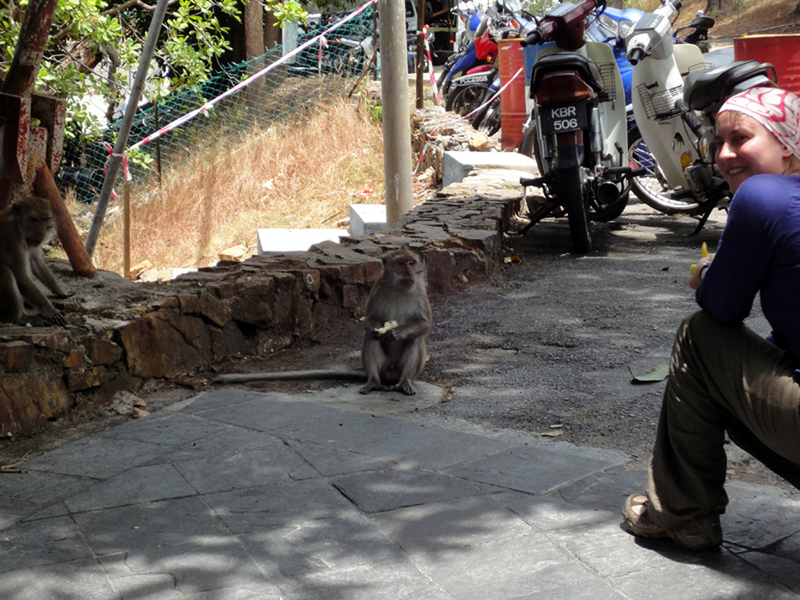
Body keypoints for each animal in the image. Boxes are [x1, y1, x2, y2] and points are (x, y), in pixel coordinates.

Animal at [0, 196, 70, 328]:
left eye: (45, 220)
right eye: (35, 220)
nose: (41, 233)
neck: (18, 224)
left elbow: (35, 261)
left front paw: (61, 291)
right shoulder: (13, 237)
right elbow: (21, 276)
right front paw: (51, 311)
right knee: (6, 272)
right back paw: (20, 317)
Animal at [360, 246, 432, 396]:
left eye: (411, 263)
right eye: (401, 263)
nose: (409, 272)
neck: (399, 287)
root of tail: (392, 373)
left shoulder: (420, 290)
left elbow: (424, 324)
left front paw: (397, 332)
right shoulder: (377, 286)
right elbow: (370, 319)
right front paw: (379, 332)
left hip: (404, 370)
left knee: (415, 338)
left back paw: (405, 382)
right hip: (385, 367)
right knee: (370, 337)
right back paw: (373, 381)